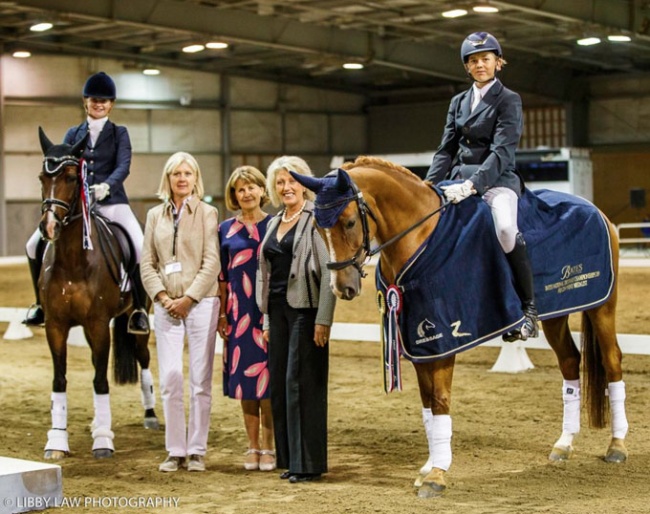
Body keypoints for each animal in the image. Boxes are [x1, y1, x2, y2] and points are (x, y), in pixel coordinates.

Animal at [36, 127, 158, 456]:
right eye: (42, 177)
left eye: (71, 177)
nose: (49, 227)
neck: (73, 261)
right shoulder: (55, 325)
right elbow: (59, 380)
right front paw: (56, 440)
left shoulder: (99, 324)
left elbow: (101, 381)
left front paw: (103, 440)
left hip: (134, 321)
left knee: (143, 359)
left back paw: (151, 416)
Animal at [292, 156, 624, 496]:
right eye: (317, 228)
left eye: (348, 222)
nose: (342, 288)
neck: (420, 236)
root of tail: (594, 209)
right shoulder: (415, 338)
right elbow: (427, 403)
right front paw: (428, 466)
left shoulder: (442, 336)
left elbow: (440, 400)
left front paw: (437, 474)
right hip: (557, 314)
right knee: (570, 362)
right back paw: (563, 445)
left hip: (602, 306)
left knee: (612, 361)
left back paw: (616, 446)